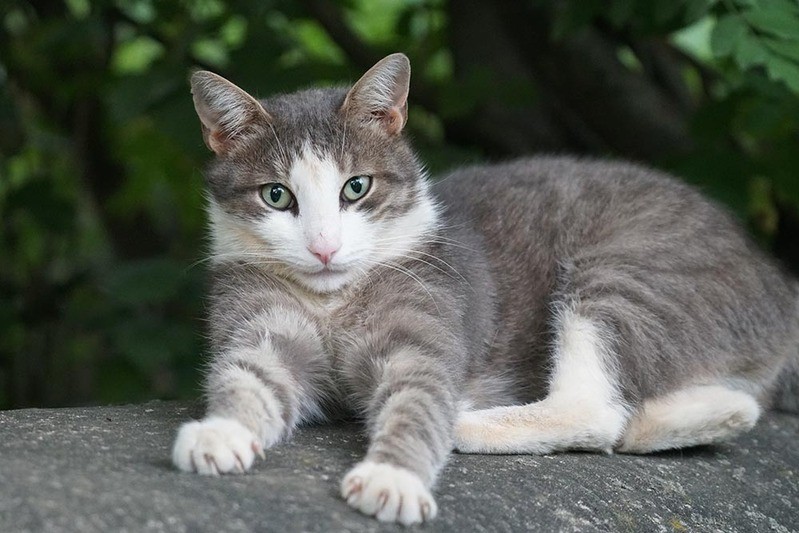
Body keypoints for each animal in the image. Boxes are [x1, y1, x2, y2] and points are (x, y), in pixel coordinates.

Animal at [170, 54, 799, 524]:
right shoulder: (258, 325)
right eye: (276, 196)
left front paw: (391, 477)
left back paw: (468, 420)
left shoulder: (425, 332)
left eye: (356, 187)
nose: (324, 247)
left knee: (595, 409)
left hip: (625, 272)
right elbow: (249, 376)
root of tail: (773, 279)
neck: (333, 299)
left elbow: (418, 396)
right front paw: (220, 432)